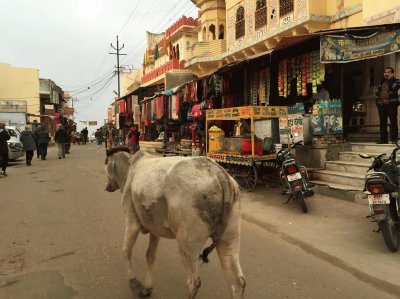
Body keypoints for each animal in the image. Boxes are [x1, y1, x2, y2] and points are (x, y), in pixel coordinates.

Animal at [104, 148, 245, 299]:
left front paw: (134, 283)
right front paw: (147, 288)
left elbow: (126, 251)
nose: (107, 186)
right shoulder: (155, 229)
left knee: (193, 283)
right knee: (238, 281)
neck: (130, 170)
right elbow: (150, 255)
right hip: (229, 237)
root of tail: (218, 173)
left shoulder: (131, 221)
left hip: (187, 244)